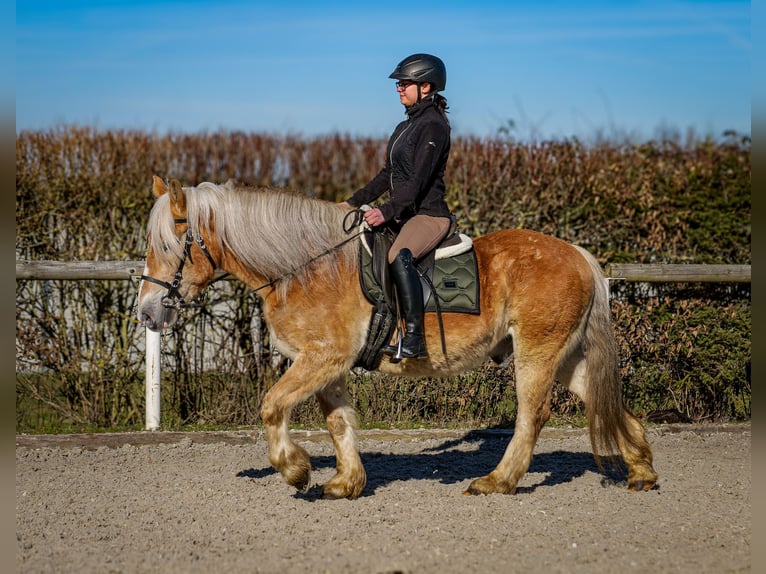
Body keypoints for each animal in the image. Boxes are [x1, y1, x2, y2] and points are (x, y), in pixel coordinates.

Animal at [138, 178, 660, 502]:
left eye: (167, 245)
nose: (147, 311)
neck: (306, 267)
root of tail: (576, 253)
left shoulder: (321, 358)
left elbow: (272, 406)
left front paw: (296, 469)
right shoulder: (328, 366)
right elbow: (339, 422)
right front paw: (345, 483)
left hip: (537, 352)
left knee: (532, 415)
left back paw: (497, 481)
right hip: (565, 356)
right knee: (603, 400)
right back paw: (641, 470)